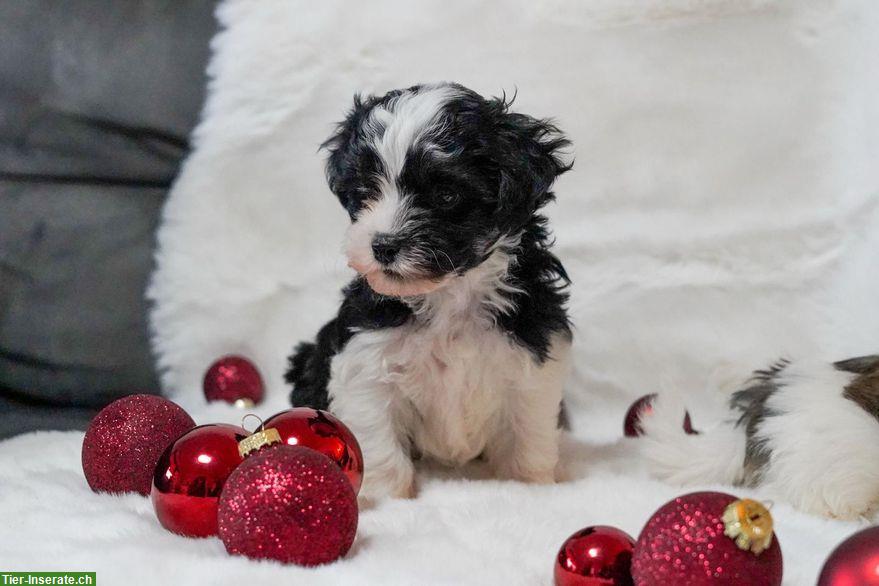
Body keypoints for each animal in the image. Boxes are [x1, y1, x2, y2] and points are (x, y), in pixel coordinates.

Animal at [288, 82, 576, 500]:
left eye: (446, 196)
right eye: (366, 192)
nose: (383, 245)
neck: (449, 294)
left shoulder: (533, 364)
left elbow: (528, 438)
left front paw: (529, 487)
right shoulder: (366, 364)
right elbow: (378, 440)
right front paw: (389, 498)